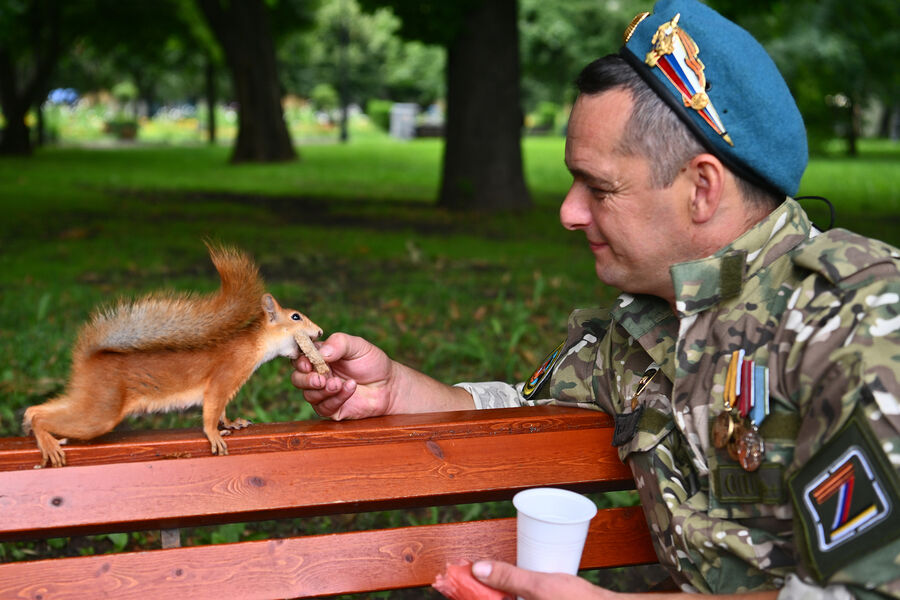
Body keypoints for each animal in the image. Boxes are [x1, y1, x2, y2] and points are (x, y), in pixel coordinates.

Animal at [24, 244, 330, 468]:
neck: (253, 346)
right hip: (100, 410)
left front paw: (232, 423)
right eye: (295, 316)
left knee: (41, 409)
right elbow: (211, 410)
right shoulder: (224, 377)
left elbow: (222, 410)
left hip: (87, 399)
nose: (320, 331)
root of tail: (88, 361)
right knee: (50, 418)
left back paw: (32, 423)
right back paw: (46, 439)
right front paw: (214, 434)